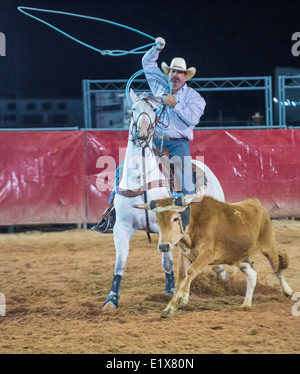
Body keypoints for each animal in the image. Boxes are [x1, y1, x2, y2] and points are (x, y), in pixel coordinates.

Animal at [102, 90, 226, 310]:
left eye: (154, 109)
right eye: (134, 108)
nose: (142, 131)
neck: (141, 176)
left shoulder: (164, 226)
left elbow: (166, 261)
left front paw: (170, 289)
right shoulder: (122, 227)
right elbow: (120, 263)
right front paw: (111, 299)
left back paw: (220, 272)